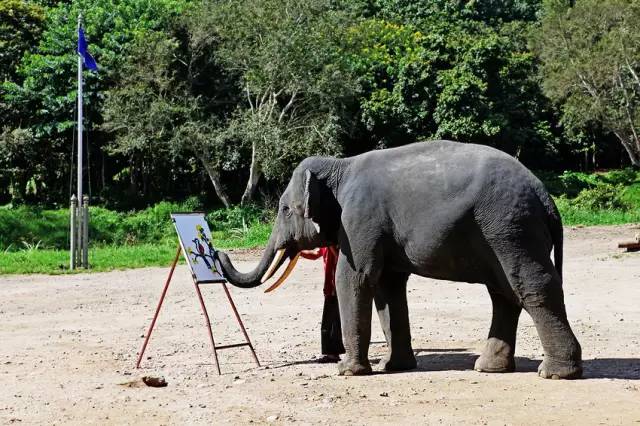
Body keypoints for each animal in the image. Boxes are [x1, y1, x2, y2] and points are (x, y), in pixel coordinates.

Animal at [218, 140, 584, 380]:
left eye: (284, 209)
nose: (220, 252)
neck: (339, 165)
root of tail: (545, 197)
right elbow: (387, 288)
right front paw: (393, 368)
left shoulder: (360, 220)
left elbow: (354, 278)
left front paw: (347, 371)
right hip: (501, 233)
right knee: (503, 292)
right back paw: (489, 368)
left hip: (511, 227)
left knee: (530, 286)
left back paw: (555, 373)